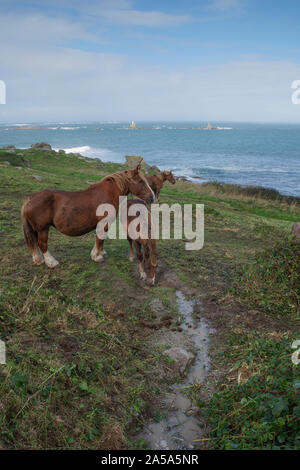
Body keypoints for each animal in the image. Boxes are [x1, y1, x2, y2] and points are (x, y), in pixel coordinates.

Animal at [20, 165, 155, 268]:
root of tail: (29, 198)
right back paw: (51, 262)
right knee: (42, 243)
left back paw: (38, 259)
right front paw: (97, 256)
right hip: (43, 228)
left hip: (37, 228)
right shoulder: (104, 222)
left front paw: (101, 253)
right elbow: (100, 238)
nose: (152, 197)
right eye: (141, 181)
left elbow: (102, 238)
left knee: (35, 242)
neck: (109, 193)